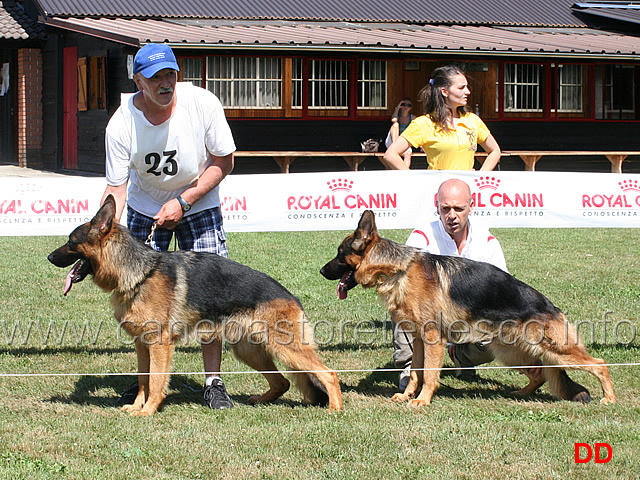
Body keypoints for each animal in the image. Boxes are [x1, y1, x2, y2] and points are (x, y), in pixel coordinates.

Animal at [47, 195, 342, 416]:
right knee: (282, 381)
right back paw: (261, 400)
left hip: (285, 348)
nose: (49, 257)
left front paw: (148, 410)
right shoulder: (142, 343)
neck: (140, 272)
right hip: (249, 350)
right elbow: (143, 379)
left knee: (329, 374)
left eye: (71, 241)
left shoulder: (160, 344)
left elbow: (156, 380)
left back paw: (334, 408)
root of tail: (292, 297)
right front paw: (136, 405)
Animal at [320, 209, 616, 404]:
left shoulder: (433, 339)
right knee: (541, 374)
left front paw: (422, 401)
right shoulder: (418, 340)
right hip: (512, 352)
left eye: (339, 254)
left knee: (599, 364)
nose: (321, 271)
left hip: (554, 350)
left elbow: (429, 375)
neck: (398, 269)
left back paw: (609, 399)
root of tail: (551, 307)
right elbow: (415, 372)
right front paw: (406, 396)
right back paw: (520, 394)